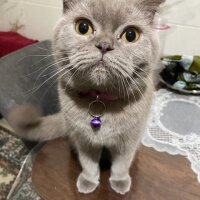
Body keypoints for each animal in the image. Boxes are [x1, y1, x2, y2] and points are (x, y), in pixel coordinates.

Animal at [9, 0, 164, 195]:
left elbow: (121, 164)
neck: (100, 100)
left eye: (130, 35)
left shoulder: (128, 140)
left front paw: (120, 182)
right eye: (83, 27)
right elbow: (88, 163)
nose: (104, 45)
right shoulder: (84, 139)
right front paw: (88, 182)